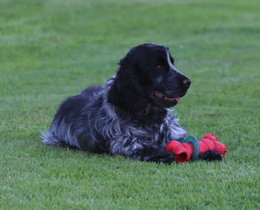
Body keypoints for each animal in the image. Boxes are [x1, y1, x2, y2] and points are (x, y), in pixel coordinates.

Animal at [42, 43, 221, 163]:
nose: (188, 82)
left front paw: (209, 152)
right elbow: (154, 150)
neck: (149, 115)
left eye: (172, 63)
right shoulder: (127, 145)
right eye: (158, 65)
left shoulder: (175, 134)